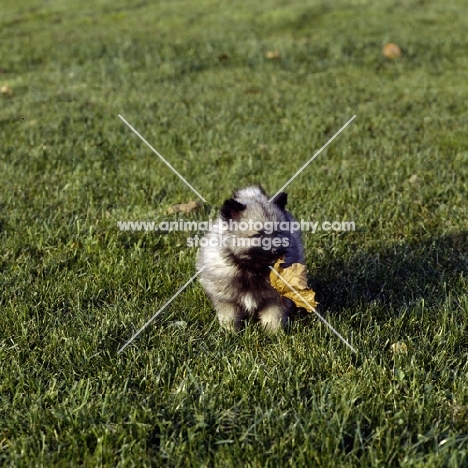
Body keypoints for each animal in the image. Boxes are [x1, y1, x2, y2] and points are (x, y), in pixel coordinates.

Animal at [196, 185, 306, 330]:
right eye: (257, 235)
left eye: (277, 233)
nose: (276, 251)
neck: (251, 269)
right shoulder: (227, 301)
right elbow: (230, 319)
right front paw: (230, 333)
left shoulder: (274, 300)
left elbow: (273, 318)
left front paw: (274, 333)